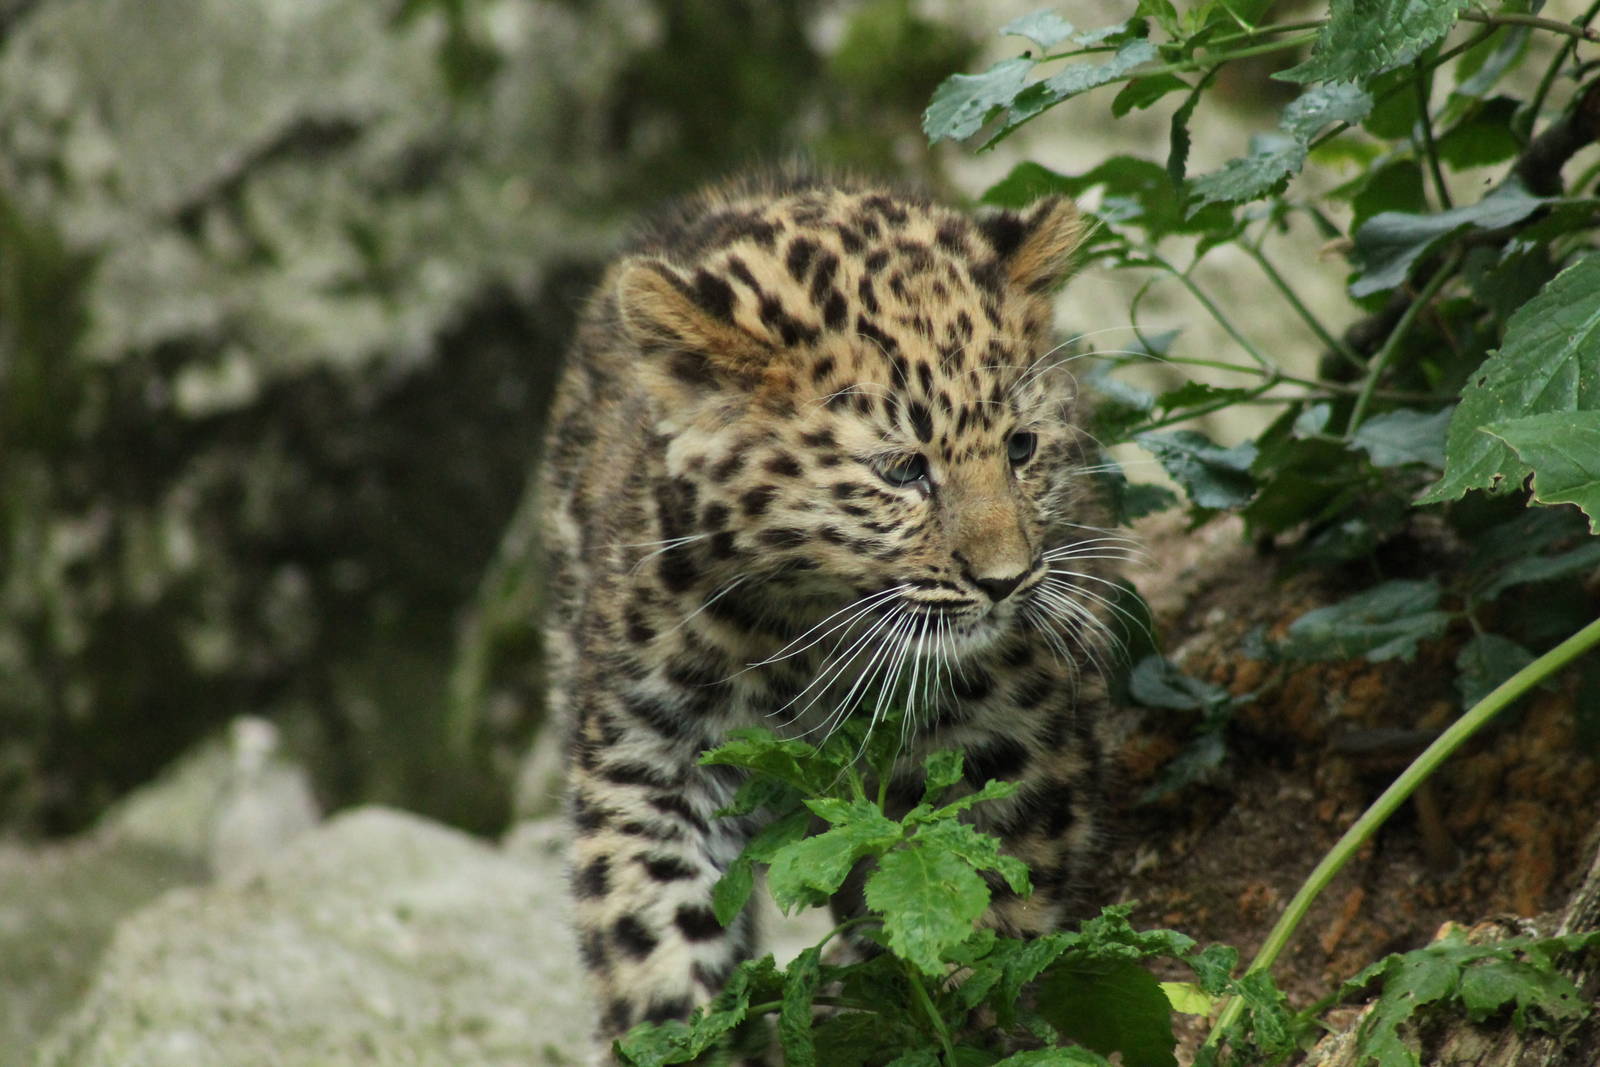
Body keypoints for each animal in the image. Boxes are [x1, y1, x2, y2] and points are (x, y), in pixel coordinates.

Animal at [539, 169, 1128, 1060]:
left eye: (1021, 448)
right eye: (903, 470)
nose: (1007, 581)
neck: (816, 629)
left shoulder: (1002, 736)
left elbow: (967, 912)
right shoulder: (652, 755)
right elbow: (655, 939)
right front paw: (685, 1034)